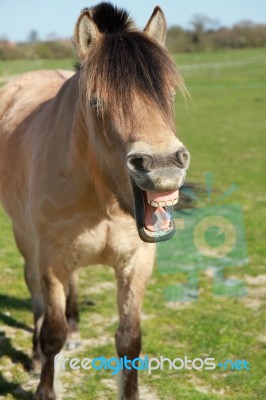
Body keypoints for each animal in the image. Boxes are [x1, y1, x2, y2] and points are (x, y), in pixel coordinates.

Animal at [0, 3, 189, 400]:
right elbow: (51, 332)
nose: (163, 165)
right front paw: (44, 386)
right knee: (35, 292)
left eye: (169, 94)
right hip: (26, 241)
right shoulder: (51, 261)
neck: (103, 201)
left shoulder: (136, 263)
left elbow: (129, 340)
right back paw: (36, 355)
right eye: (96, 101)